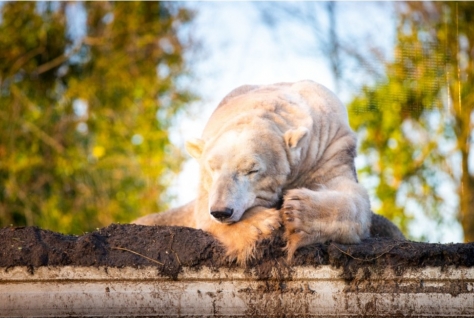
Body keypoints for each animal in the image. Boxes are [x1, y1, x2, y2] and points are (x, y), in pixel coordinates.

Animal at [134, 80, 404, 264]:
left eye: (252, 170)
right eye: (213, 167)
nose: (222, 211)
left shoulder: (330, 146)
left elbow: (351, 196)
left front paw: (298, 209)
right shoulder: (205, 186)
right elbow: (203, 214)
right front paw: (262, 223)